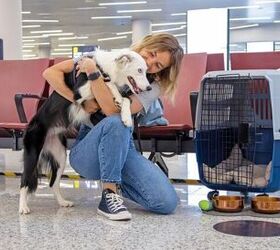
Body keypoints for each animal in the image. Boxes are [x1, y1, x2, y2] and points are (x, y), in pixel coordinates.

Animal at [18, 49, 151, 214]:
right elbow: (108, 83)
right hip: (33, 153)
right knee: (24, 181)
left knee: (53, 183)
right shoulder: (80, 92)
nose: (149, 88)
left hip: (60, 156)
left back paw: (62, 202)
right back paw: (23, 207)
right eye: (139, 70)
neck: (105, 68)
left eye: (146, 71)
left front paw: (126, 116)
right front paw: (116, 93)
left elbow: (125, 99)